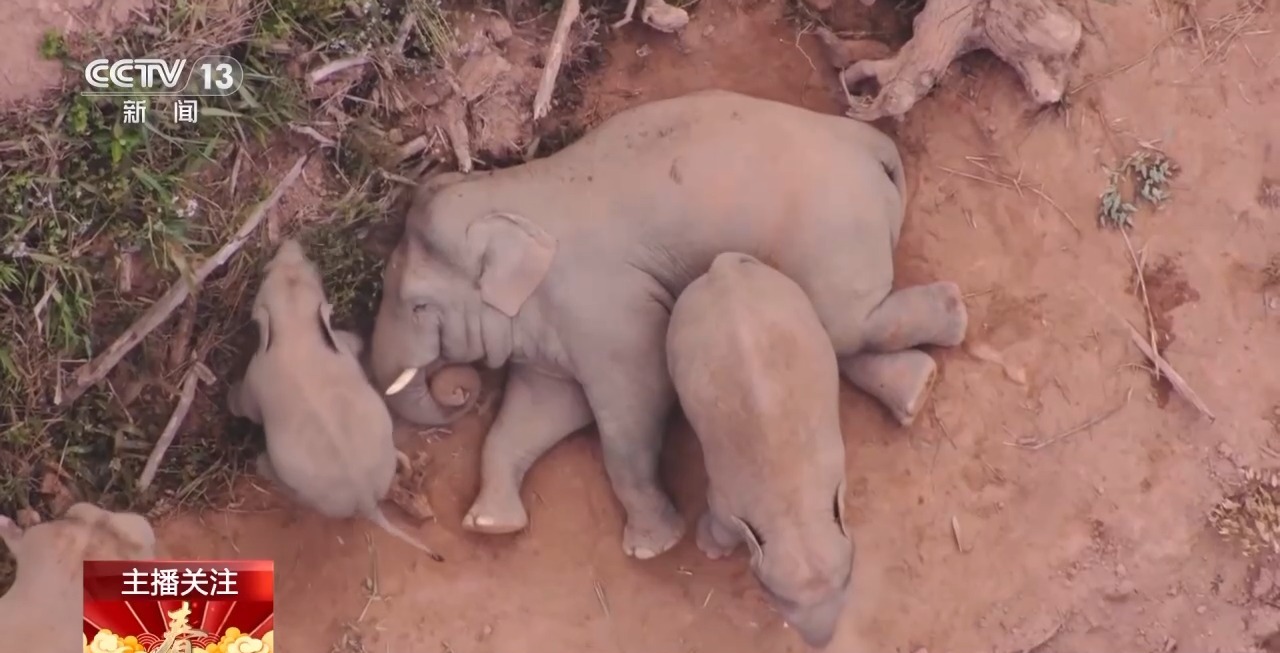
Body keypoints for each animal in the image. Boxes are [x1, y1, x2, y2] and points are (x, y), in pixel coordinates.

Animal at [368, 88, 968, 559]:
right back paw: (917, 388)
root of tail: (869, 142)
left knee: (846, 322)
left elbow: (635, 403)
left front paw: (653, 547)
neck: (510, 190)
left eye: (418, 305)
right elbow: (539, 411)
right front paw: (490, 526)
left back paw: (954, 314)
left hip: (833, 226)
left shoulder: (608, 306)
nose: (459, 388)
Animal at [667, 252, 854, 648]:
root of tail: (724, 270)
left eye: (845, 583)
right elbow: (723, 522)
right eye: (783, 600)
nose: (821, 642)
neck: (793, 509)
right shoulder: (727, 495)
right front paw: (711, 547)